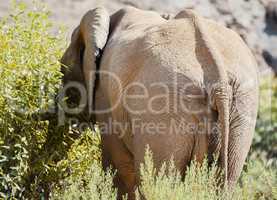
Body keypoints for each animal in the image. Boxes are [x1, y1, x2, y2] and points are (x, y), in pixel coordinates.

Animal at [59, 6, 258, 200]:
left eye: (63, 70)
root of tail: (218, 82)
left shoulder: (106, 97)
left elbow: (119, 166)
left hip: (163, 115)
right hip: (241, 112)